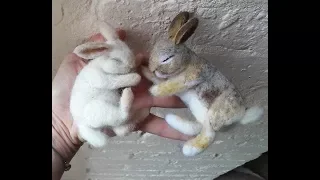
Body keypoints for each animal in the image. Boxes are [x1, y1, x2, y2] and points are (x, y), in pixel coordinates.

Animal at [141, 11, 264, 157]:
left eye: (167, 58)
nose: (152, 69)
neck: (186, 63)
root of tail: (241, 115)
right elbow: (160, 81)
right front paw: (143, 71)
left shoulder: (193, 76)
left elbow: (172, 85)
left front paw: (154, 91)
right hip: (199, 111)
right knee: (203, 131)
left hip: (216, 112)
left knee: (211, 133)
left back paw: (188, 147)